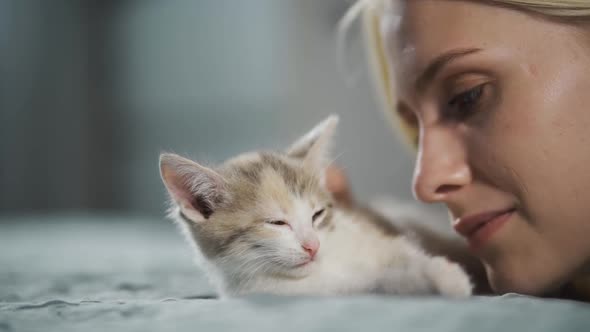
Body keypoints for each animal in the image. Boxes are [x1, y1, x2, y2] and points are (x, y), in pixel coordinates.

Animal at [157, 115, 472, 296]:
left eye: (317, 214)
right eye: (276, 223)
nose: (313, 246)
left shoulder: (373, 233)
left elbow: (405, 254)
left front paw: (445, 276)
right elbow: (376, 282)